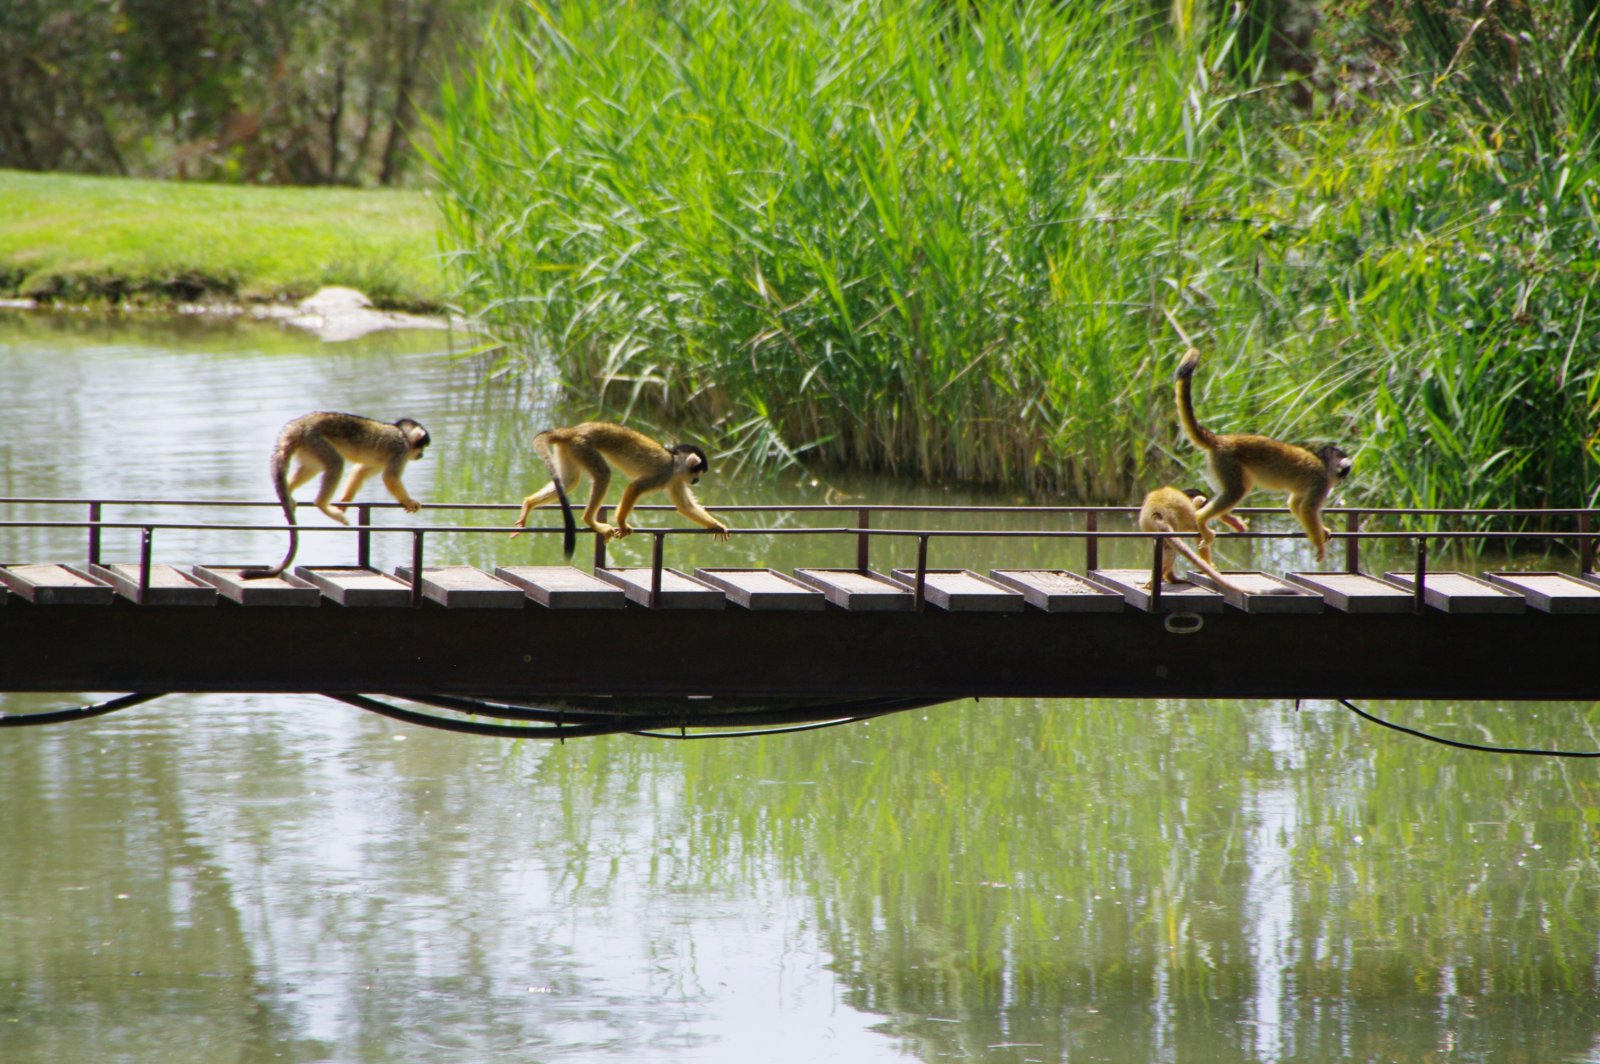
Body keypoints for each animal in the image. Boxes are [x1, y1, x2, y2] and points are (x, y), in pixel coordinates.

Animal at [236, 409, 425, 576]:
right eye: (421, 447)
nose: (422, 455)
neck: (403, 434)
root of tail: (298, 424)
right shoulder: (400, 450)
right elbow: (390, 477)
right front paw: (408, 501)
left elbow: (360, 471)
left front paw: (345, 501)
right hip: (314, 439)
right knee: (335, 463)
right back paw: (321, 504)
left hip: (307, 445)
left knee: (312, 467)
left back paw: (288, 493)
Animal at [512, 419, 732, 560]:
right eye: (699, 472)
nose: (696, 480)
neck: (675, 463)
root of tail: (571, 431)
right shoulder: (665, 474)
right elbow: (635, 487)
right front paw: (622, 523)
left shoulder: (675, 480)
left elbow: (685, 506)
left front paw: (717, 525)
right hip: (583, 446)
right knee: (603, 475)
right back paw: (590, 520)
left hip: (571, 448)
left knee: (570, 481)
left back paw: (528, 504)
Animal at [1177, 348, 1350, 563]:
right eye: (1343, 474)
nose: (1340, 482)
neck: (1324, 464)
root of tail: (1221, 439)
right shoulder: (1321, 483)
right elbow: (1308, 509)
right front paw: (1319, 544)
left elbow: (1295, 505)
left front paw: (1322, 530)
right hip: (1226, 461)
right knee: (1236, 491)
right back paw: (1201, 519)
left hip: (1221, 463)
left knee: (1236, 488)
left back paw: (1224, 517)